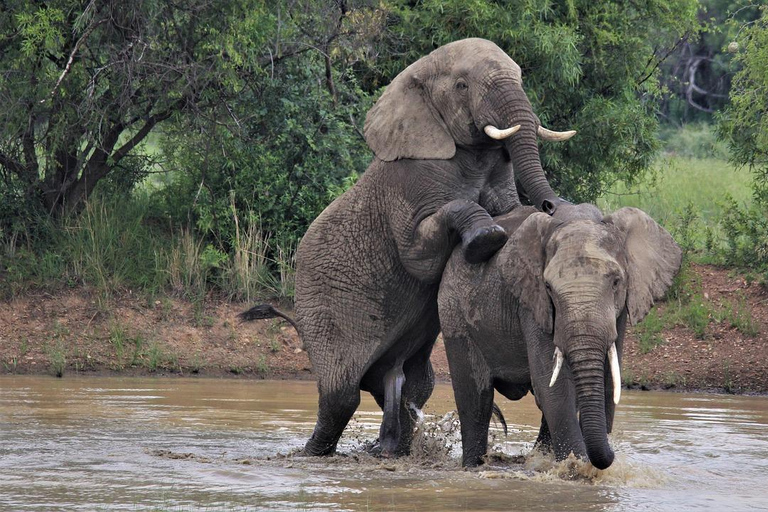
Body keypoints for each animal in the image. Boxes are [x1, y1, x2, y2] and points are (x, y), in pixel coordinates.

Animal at [243, 38, 572, 458]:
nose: (551, 205)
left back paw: (393, 448)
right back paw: (312, 453)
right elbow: (419, 257)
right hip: (320, 310)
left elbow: (509, 210)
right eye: (462, 85)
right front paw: (486, 238)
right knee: (340, 395)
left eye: (520, 78)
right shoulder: (408, 181)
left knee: (413, 385)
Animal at [438, 204, 684, 468]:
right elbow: (554, 386)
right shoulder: (533, 304)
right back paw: (473, 466)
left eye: (617, 282)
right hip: (453, 311)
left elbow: (608, 383)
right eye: (548, 287)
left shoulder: (619, 314)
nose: (611, 453)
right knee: (476, 399)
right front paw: (577, 469)